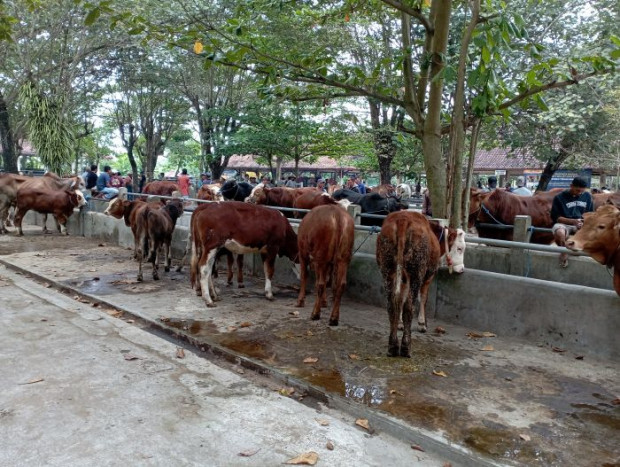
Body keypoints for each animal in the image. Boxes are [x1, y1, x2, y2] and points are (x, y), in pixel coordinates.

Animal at [372, 212, 464, 358]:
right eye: (460, 248)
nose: (462, 269)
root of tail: (403, 219)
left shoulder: (403, 280)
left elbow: (401, 299)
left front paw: (400, 324)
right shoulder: (428, 277)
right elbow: (424, 298)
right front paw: (422, 323)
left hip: (387, 270)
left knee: (392, 304)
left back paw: (392, 346)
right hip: (416, 272)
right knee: (409, 306)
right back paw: (406, 347)